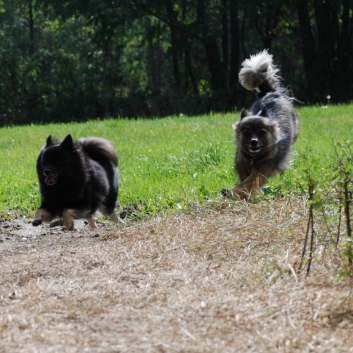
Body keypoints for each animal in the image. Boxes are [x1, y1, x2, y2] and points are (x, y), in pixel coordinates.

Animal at [223, 49, 296, 198]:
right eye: (246, 133)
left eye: (262, 132)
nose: (254, 142)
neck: (253, 158)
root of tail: (270, 92)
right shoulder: (242, 167)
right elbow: (244, 181)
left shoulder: (261, 170)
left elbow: (247, 183)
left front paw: (232, 192)